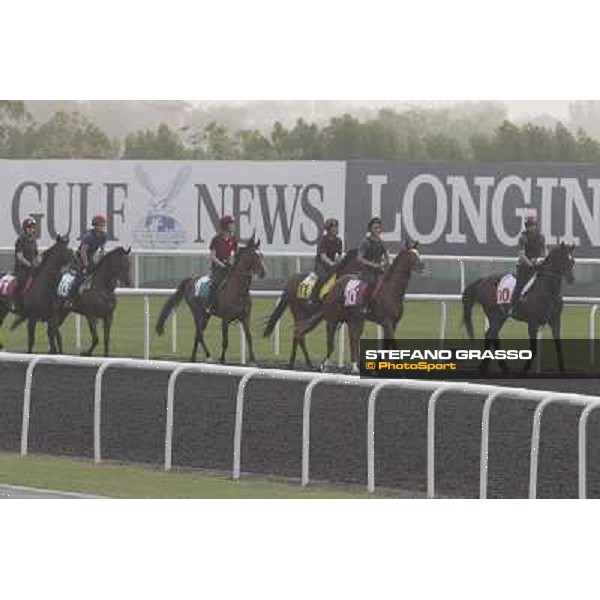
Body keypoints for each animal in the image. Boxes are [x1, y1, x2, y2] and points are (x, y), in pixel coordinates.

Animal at [156, 236, 266, 364]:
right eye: (253, 255)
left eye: (261, 254)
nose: (263, 272)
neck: (238, 291)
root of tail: (191, 280)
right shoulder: (225, 319)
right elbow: (225, 341)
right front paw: (222, 359)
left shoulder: (245, 317)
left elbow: (249, 337)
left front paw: (253, 360)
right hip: (197, 312)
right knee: (199, 334)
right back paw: (208, 356)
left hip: (206, 315)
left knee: (197, 334)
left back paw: (193, 358)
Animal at [298, 240, 422, 372]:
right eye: (412, 255)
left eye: (418, 253)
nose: (422, 265)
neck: (392, 291)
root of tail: (334, 286)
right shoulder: (387, 322)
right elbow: (393, 344)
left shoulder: (392, 324)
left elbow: (385, 346)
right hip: (333, 318)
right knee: (331, 341)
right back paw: (325, 365)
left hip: (355, 319)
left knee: (353, 339)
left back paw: (355, 366)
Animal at [460, 240, 576, 376]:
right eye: (564, 259)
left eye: (572, 261)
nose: (571, 279)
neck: (547, 291)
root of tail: (482, 281)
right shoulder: (533, 323)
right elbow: (533, 349)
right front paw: (523, 371)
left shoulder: (555, 321)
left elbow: (558, 346)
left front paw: (563, 371)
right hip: (494, 313)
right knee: (490, 335)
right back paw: (487, 367)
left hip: (501, 316)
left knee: (493, 335)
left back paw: (499, 368)